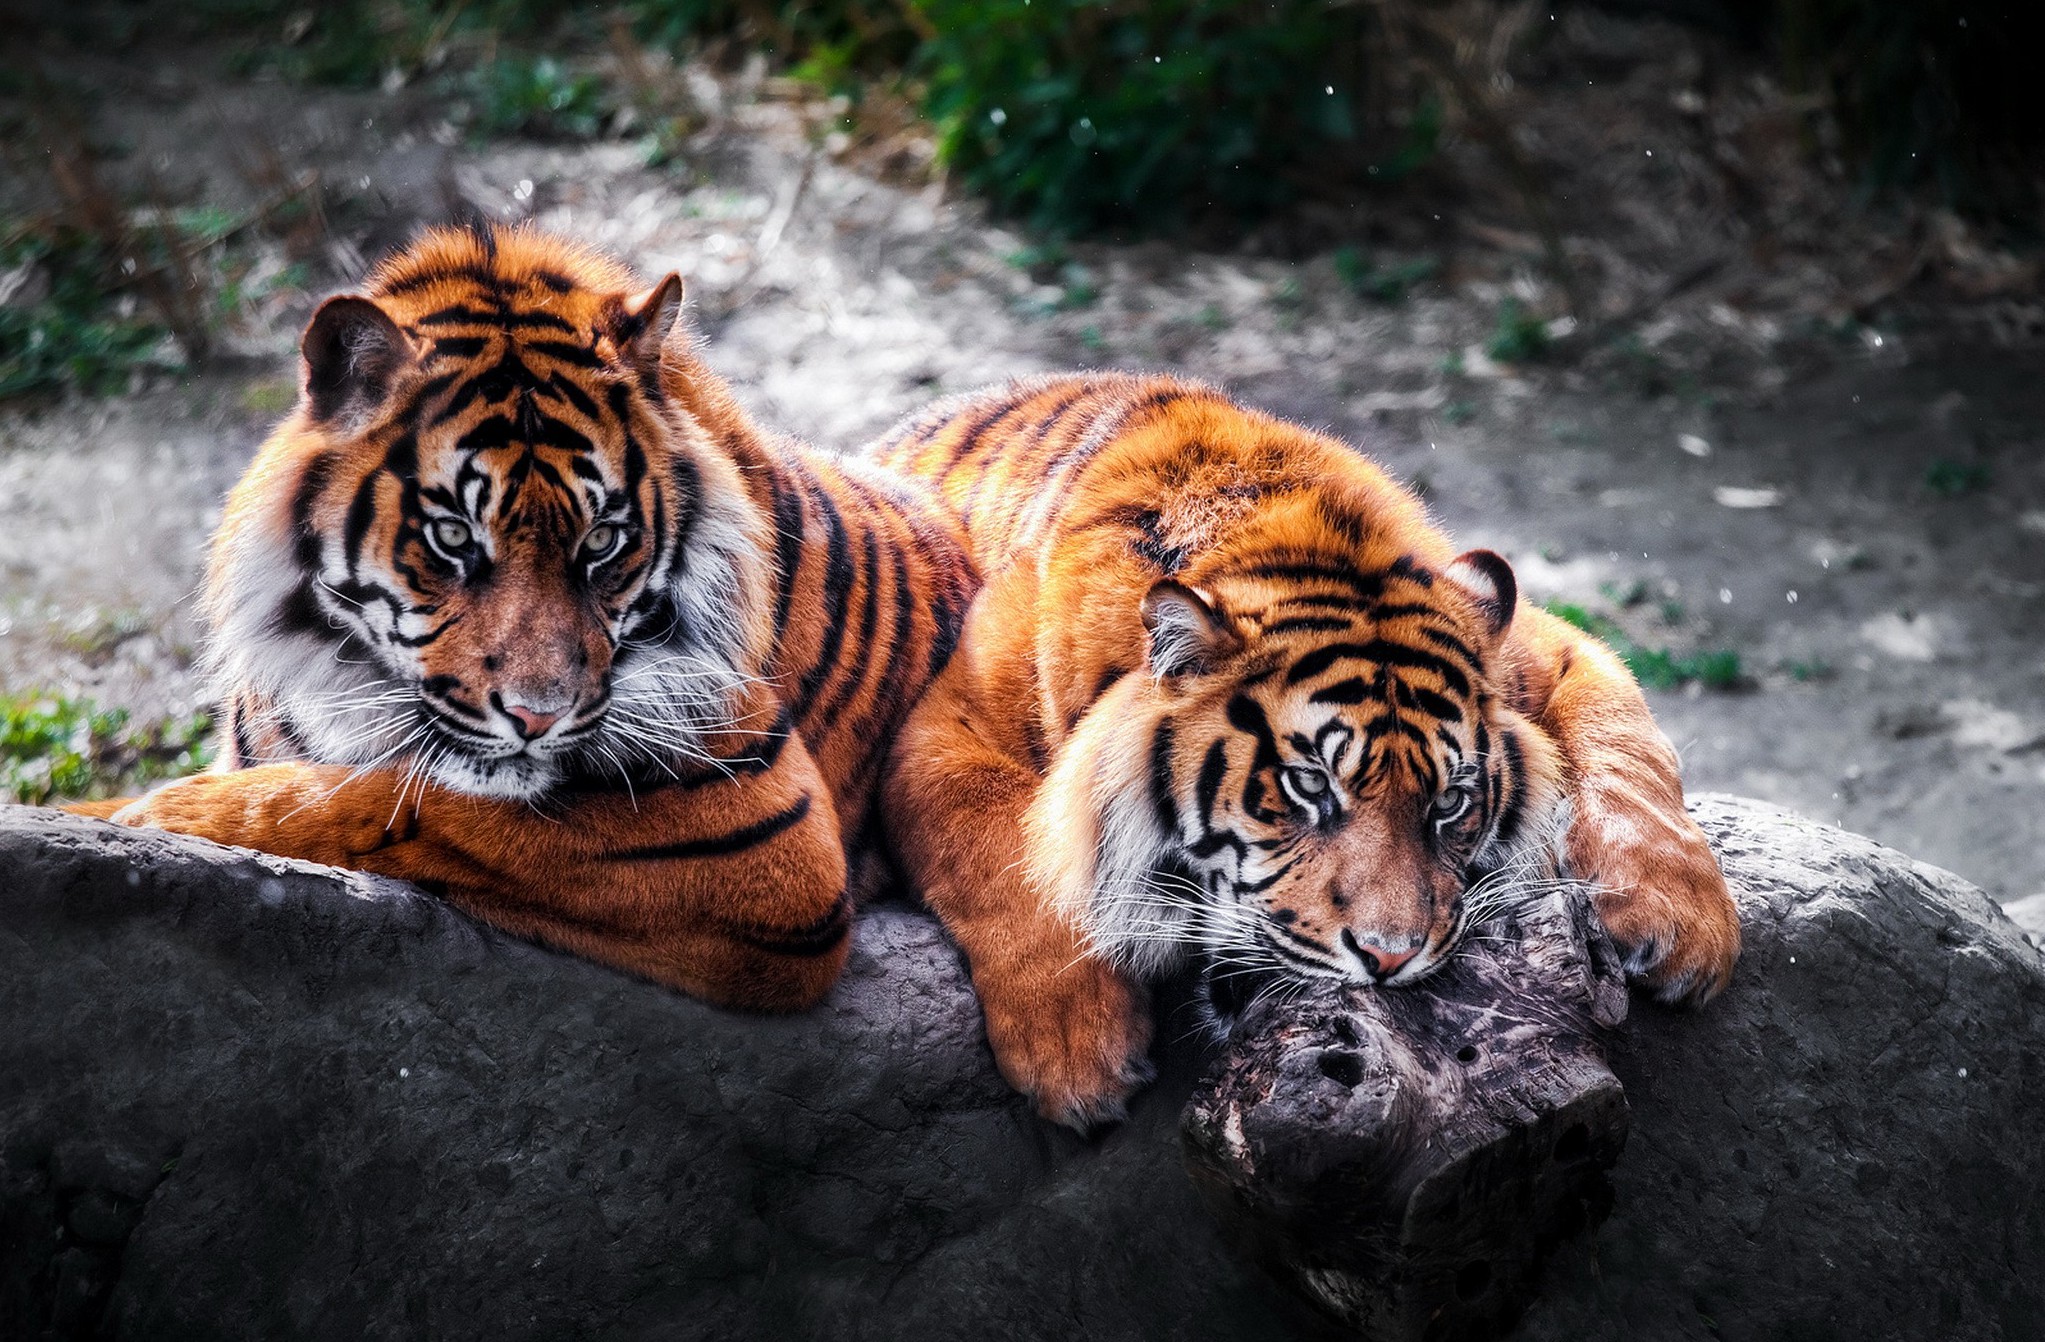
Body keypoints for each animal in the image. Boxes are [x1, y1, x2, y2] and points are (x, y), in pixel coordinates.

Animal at [72, 225, 973, 1010]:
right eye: (452, 537)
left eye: (603, 541)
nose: (537, 719)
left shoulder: (763, 830)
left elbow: (391, 800)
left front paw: (163, 815)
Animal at [875, 372, 1742, 1129]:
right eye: (1306, 787)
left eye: (1450, 803)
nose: (1388, 959)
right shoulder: (939, 728)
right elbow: (1009, 855)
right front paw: (1078, 1053)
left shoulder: (1549, 649)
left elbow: (1628, 747)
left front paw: (1680, 924)